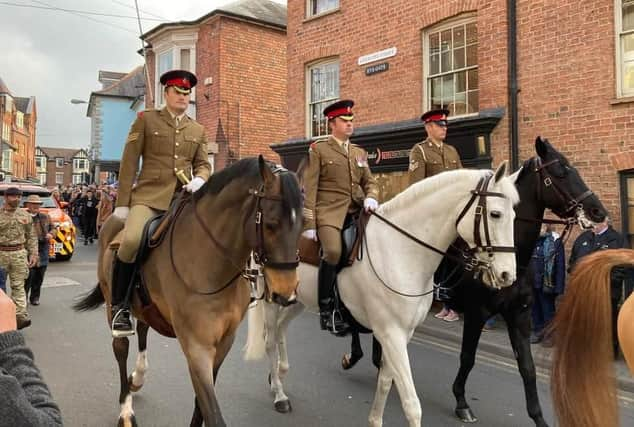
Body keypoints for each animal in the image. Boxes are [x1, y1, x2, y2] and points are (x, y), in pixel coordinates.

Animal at [74, 158, 302, 427]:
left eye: (303, 225)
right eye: (271, 224)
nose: (286, 293)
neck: (212, 262)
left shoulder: (224, 343)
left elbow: (201, 405)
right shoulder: (197, 347)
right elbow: (212, 412)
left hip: (145, 304)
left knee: (143, 329)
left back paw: (138, 377)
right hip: (112, 303)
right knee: (121, 348)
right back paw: (126, 411)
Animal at [244, 162, 516, 426]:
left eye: (515, 214)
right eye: (495, 214)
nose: (507, 275)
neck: (401, 249)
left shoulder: (401, 334)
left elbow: (385, 382)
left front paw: (375, 420)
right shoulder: (391, 333)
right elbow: (411, 404)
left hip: (296, 299)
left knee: (281, 329)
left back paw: (278, 376)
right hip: (272, 298)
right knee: (269, 340)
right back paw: (279, 395)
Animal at [344, 137, 604, 427]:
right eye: (560, 171)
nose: (598, 211)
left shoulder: (520, 315)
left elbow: (528, 368)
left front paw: (538, 418)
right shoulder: (477, 313)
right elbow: (468, 357)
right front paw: (461, 402)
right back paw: (355, 356)